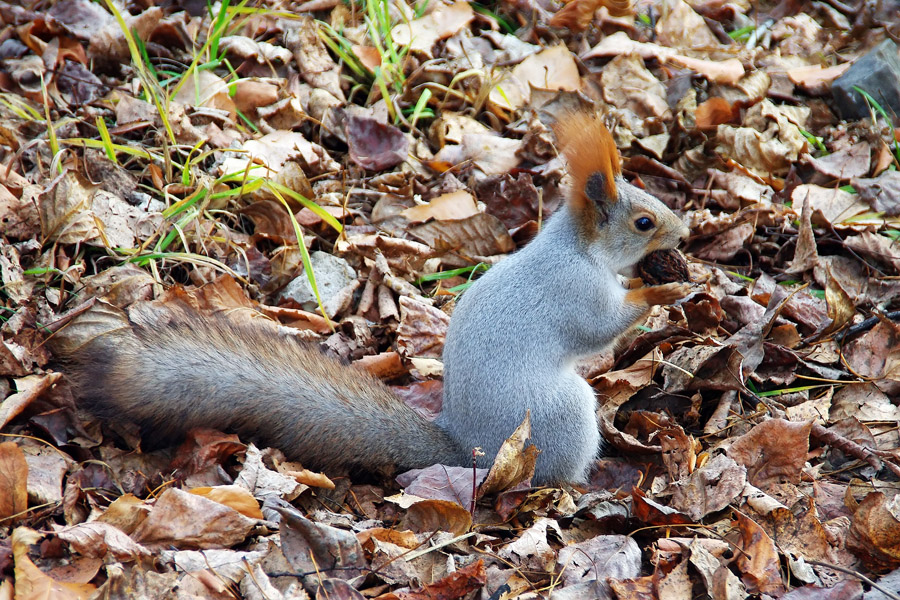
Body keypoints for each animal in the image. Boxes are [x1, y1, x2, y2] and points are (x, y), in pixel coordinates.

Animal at [56, 111, 688, 488]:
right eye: (644, 221)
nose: (684, 232)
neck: (578, 250)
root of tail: (471, 451)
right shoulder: (573, 290)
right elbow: (601, 326)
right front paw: (666, 288)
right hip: (559, 417)